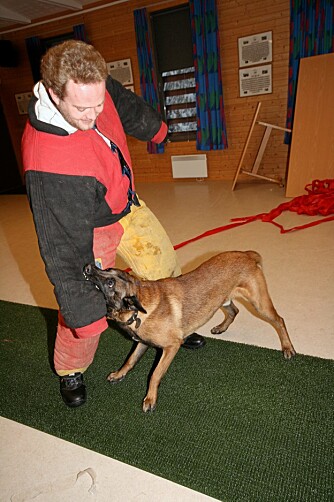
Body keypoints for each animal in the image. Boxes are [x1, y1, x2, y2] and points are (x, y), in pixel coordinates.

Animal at [83, 251, 294, 412]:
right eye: (106, 269)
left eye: (110, 283)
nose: (87, 267)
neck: (139, 308)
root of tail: (246, 254)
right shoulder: (141, 343)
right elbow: (129, 361)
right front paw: (119, 374)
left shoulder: (171, 347)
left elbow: (155, 374)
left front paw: (150, 398)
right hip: (220, 301)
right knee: (234, 311)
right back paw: (221, 327)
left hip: (259, 305)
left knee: (280, 320)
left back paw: (287, 348)